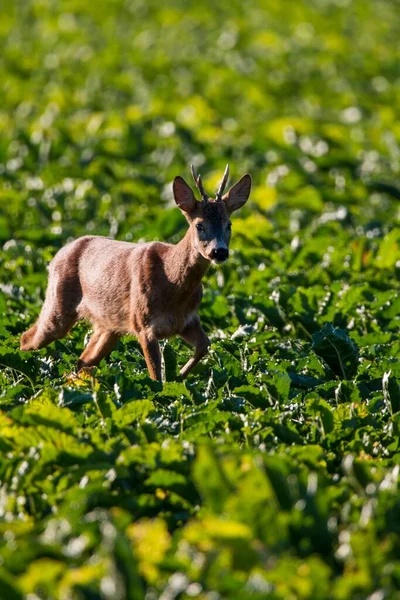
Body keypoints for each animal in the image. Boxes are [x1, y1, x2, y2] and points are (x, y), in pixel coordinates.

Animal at [20, 164, 252, 380]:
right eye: (199, 225)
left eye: (229, 224)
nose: (219, 251)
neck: (173, 284)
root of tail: (58, 254)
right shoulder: (144, 325)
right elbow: (155, 377)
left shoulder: (187, 321)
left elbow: (205, 345)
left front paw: (179, 377)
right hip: (57, 306)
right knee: (26, 338)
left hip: (108, 325)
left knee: (83, 360)